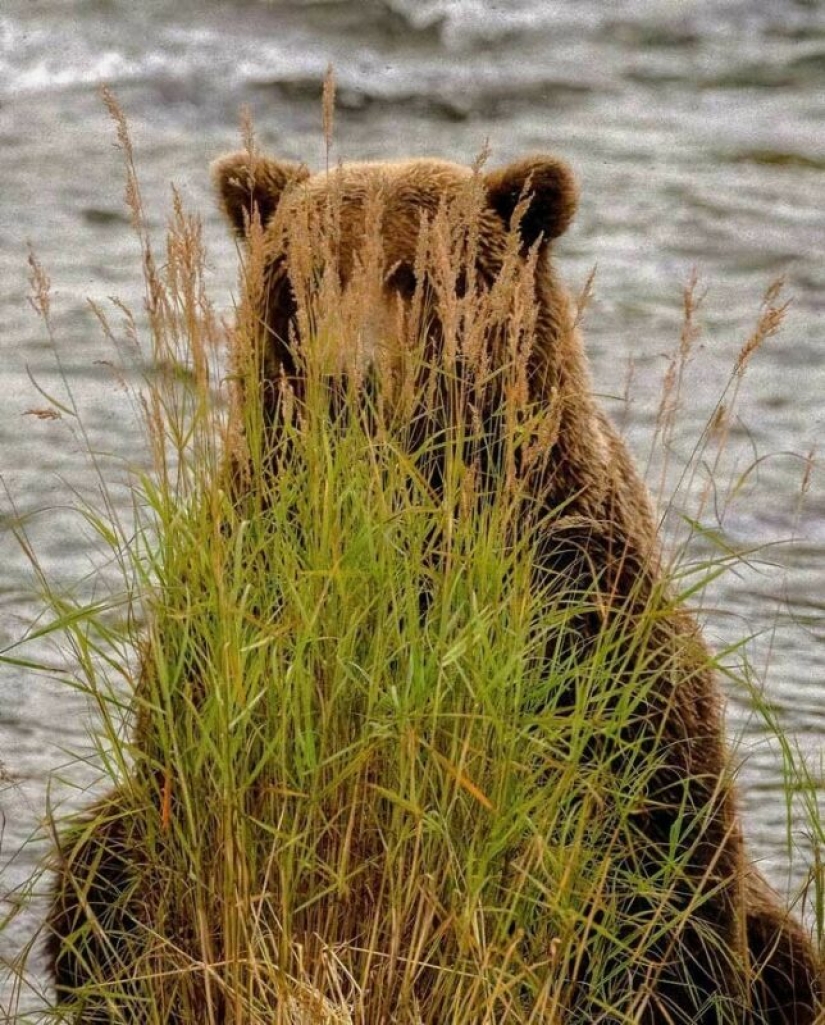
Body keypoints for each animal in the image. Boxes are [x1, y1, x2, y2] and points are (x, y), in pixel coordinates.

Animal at [46, 150, 821, 1024]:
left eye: (413, 273)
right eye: (311, 271)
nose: (346, 380)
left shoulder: (578, 601)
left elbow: (638, 816)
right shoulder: (246, 582)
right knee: (93, 862)